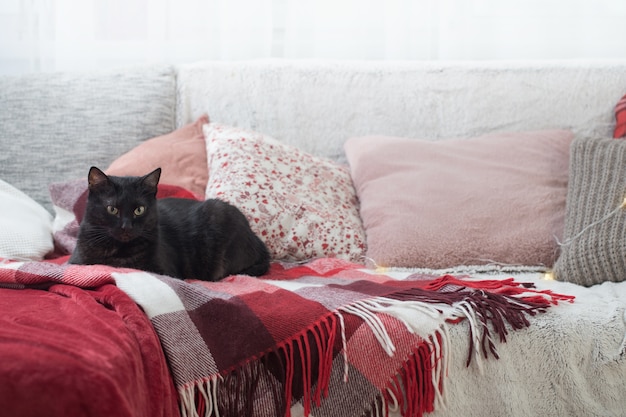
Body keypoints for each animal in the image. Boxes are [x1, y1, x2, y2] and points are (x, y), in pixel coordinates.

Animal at [68, 167, 268, 282]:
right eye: (112, 209)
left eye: (139, 210)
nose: (126, 226)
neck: (118, 254)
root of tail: (258, 240)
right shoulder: (77, 262)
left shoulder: (165, 271)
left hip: (218, 213)